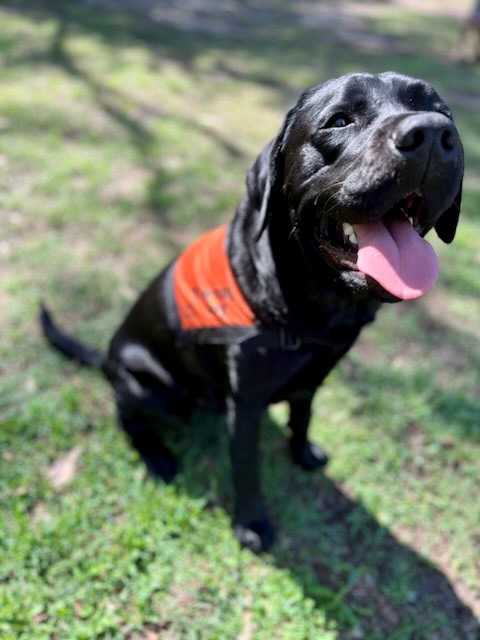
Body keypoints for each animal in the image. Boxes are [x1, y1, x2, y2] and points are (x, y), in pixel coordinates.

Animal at [43, 71, 464, 552]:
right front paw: (252, 524)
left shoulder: (313, 379)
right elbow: (247, 470)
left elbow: (302, 419)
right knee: (129, 418)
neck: (315, 305)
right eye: (339, 120)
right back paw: (158, 457)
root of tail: (108, 358)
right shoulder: (243, 407)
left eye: (441, 112)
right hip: (147, 388)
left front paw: (303, 454)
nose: (432, 134)